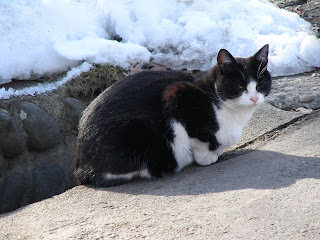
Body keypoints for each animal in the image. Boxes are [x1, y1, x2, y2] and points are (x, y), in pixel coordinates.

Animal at [74, 45, 272, 188]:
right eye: (240, 86)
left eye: (260, 84)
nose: (254, 98)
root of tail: (80, 165)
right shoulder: (177, 96)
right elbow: (197, 139)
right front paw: (206, 157)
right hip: (133, 132)